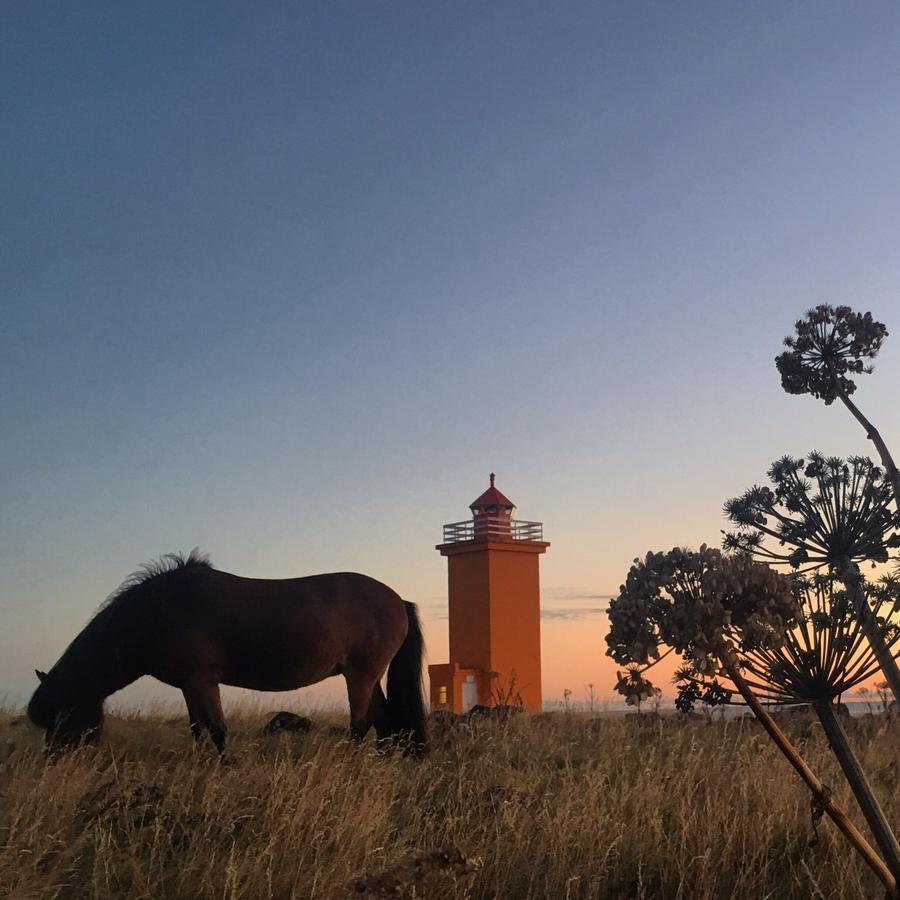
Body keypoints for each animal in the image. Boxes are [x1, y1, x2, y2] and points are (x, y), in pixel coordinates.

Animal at [28, 552, 428, 756]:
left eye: (60, 721)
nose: (54, 762)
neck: (158, 613)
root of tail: (398, 600)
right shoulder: (189, 685)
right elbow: (197, 729)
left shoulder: (203, 681)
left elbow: (218, 730)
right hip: (366, 676)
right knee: (384, 721)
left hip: (360, 676)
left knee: (361, 724)